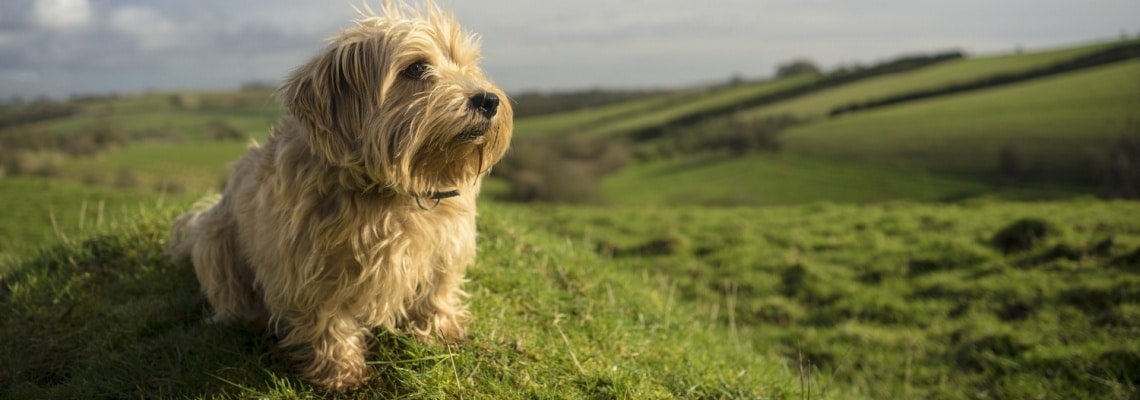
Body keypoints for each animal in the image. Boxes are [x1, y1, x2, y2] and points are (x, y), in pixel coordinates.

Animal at [166, 1, 513, 394]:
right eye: (416, 67)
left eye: (468, 65)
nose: (489, 100)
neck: (389, 193)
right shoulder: (312, 269)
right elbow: (329, 321)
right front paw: (340, 373)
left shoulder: (444, 249)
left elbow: (436, 292)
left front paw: (440, 333)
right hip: (215, 240)